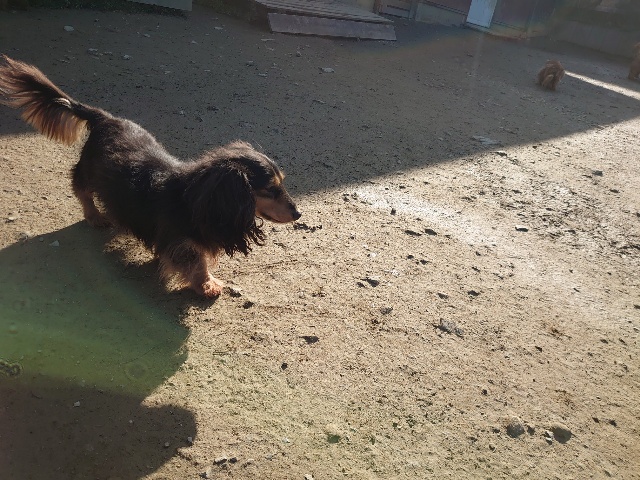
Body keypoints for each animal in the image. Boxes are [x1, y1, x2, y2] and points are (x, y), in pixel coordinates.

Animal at [0, 55, 301, 297]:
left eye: (283, 184)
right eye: (271, 189)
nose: (298, 214)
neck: (191, 199)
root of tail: (104, 117)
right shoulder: (182, 241)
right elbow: (197, 262)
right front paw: (207, 285)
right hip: (88, 172)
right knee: (81, 188)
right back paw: (95, 216)